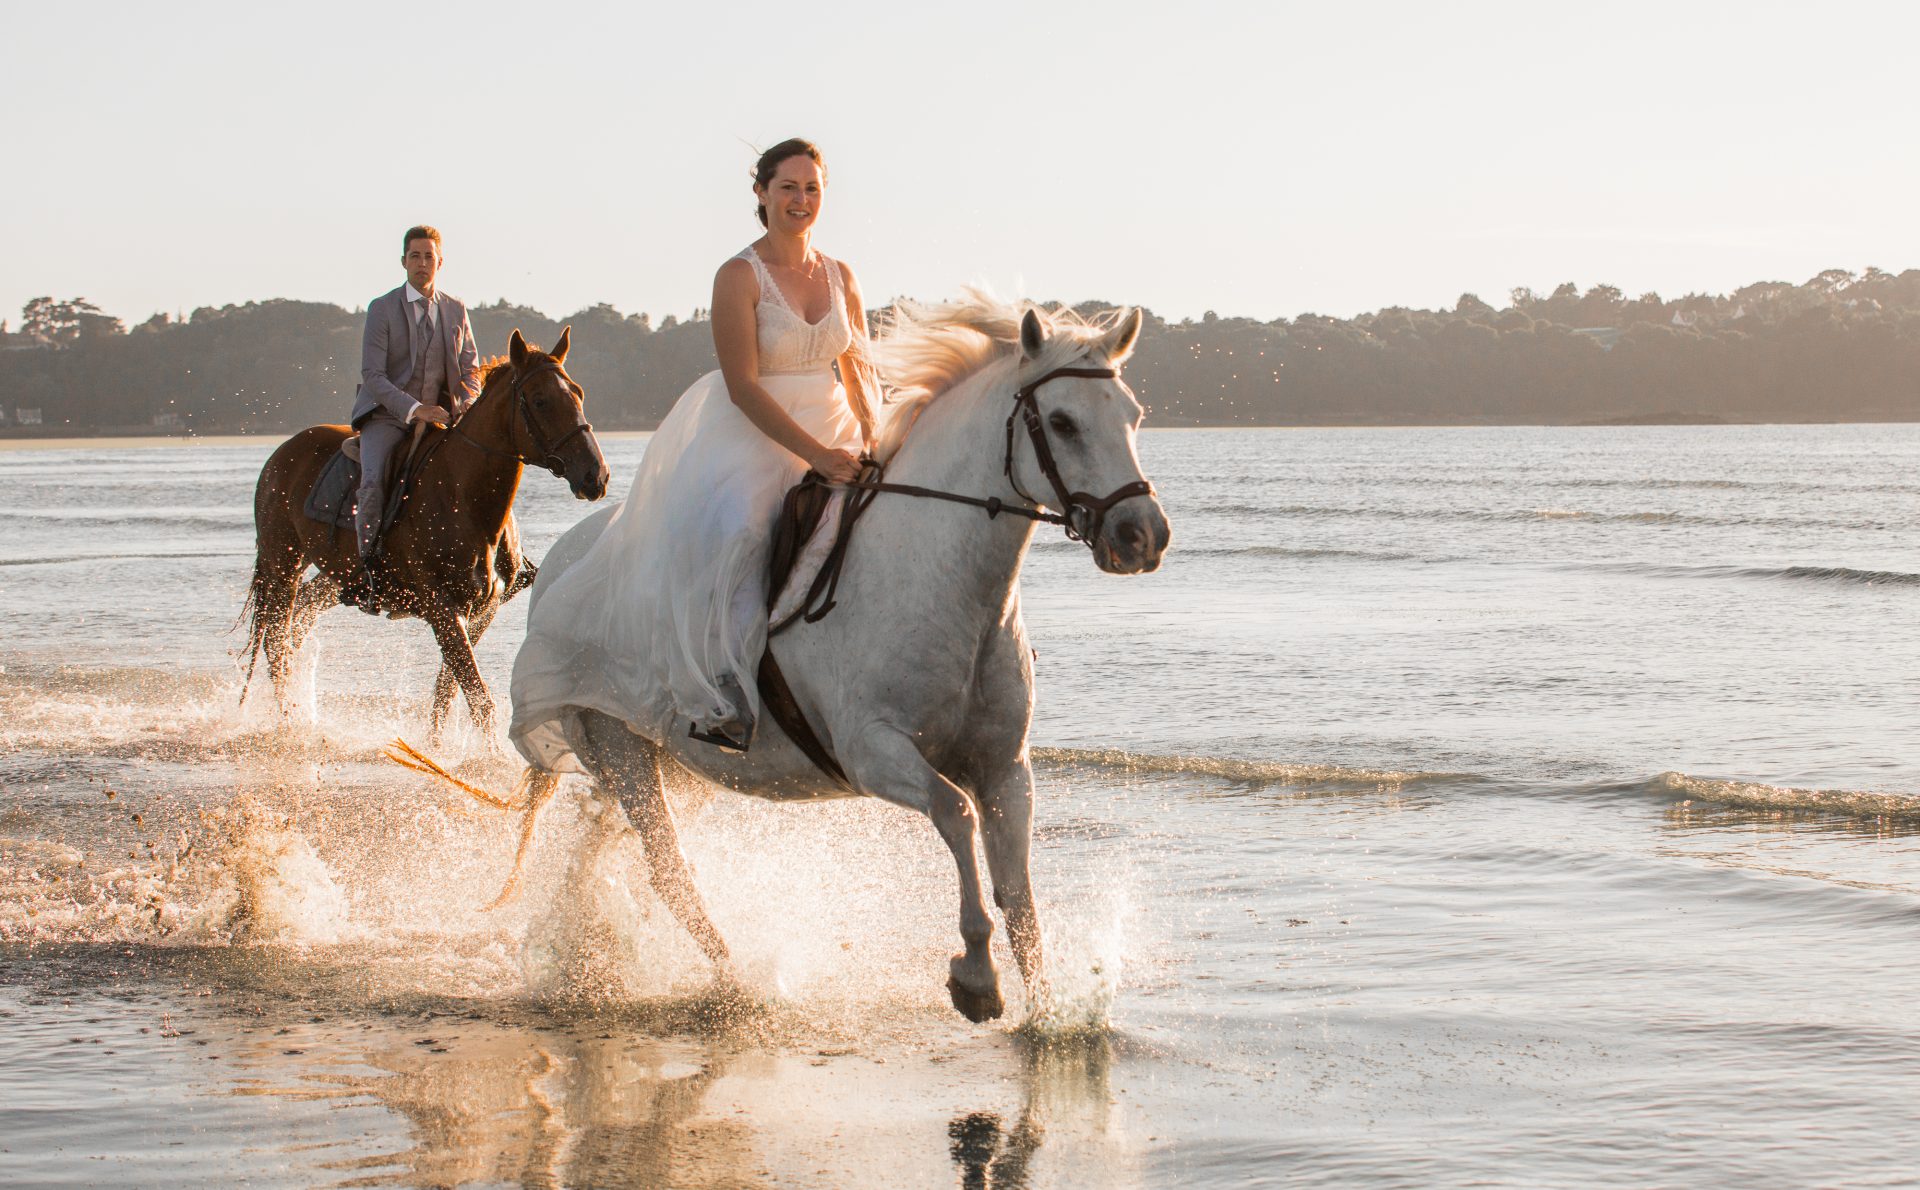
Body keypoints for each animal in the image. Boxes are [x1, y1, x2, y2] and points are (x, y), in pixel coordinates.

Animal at [243, 326, 606, 733]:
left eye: (578, 393)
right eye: (541, 401)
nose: (595, 475)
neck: (465, 499)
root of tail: (282, 453)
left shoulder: (482, 610)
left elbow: (447, 692)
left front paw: (435, 743)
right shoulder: (442, 610)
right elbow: (478, 698)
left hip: (335, 575)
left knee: (297, 622)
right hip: (282, 562)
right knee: (276, 642)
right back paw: (292, 723)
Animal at [487, 297, 1167, 1021]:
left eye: (1132, 415)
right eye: (1062, 422)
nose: (1143, 536)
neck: (945, 580)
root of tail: (565, 559)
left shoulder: (1006, 767)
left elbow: (1022, 900)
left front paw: (1048, 1016)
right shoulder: (872, 751)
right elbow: (956, 814)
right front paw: (976, 977)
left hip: (672, 762)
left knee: (602, 851)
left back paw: (577, 956)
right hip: (620, 748)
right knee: (666, 869)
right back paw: (733, 985)